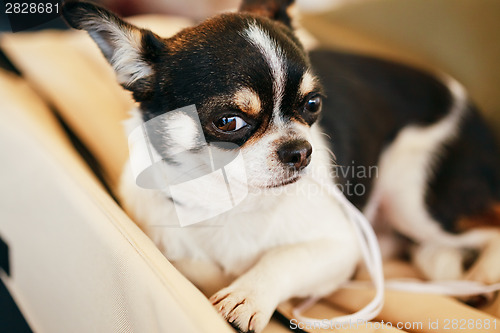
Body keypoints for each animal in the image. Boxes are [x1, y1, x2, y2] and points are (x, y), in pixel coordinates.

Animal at [62, 0, 500, 330]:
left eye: (313, 105)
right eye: (228, 122)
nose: (300, 150)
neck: (235, 203)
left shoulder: (341, 245)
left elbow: (285, 257)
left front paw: (248, 294)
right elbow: (197, 267)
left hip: (416, 200)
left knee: (485, 226)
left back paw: (481, 276)